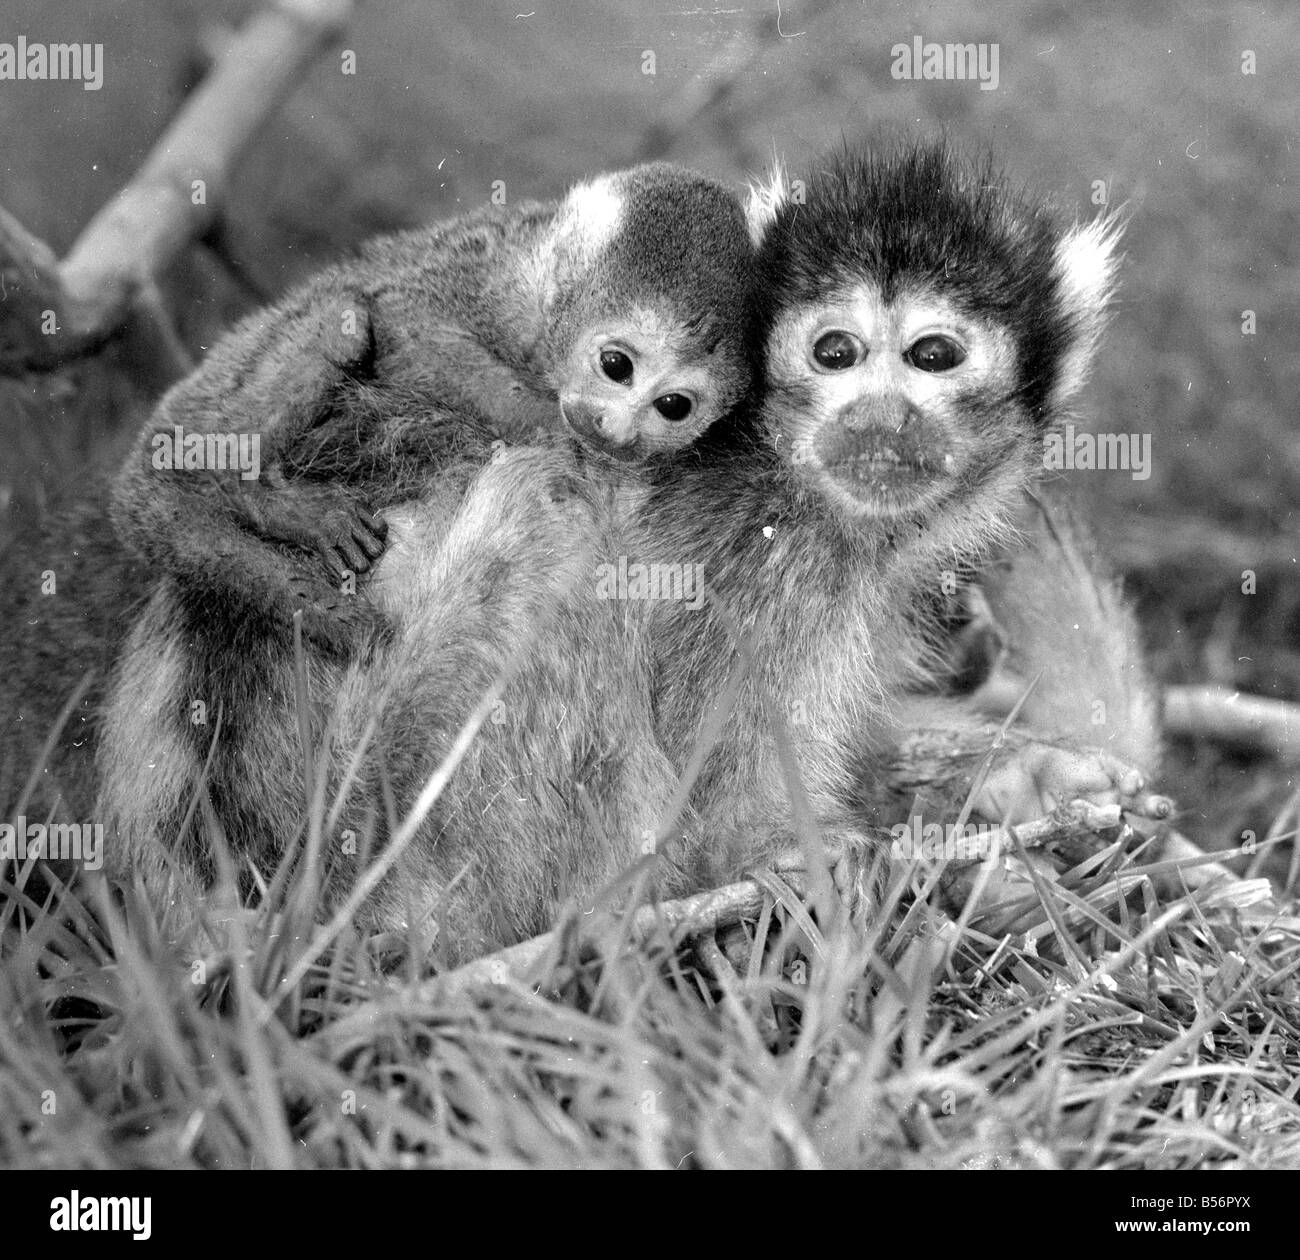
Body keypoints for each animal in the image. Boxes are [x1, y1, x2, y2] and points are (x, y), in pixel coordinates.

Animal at [108, 163, 756, 659]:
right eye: (616, 365)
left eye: (673, 406)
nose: (615, 431)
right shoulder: (499, 287)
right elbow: (405, 323)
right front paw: (552, 430)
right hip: (204, 418)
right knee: (346, 317)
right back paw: (259, 492)